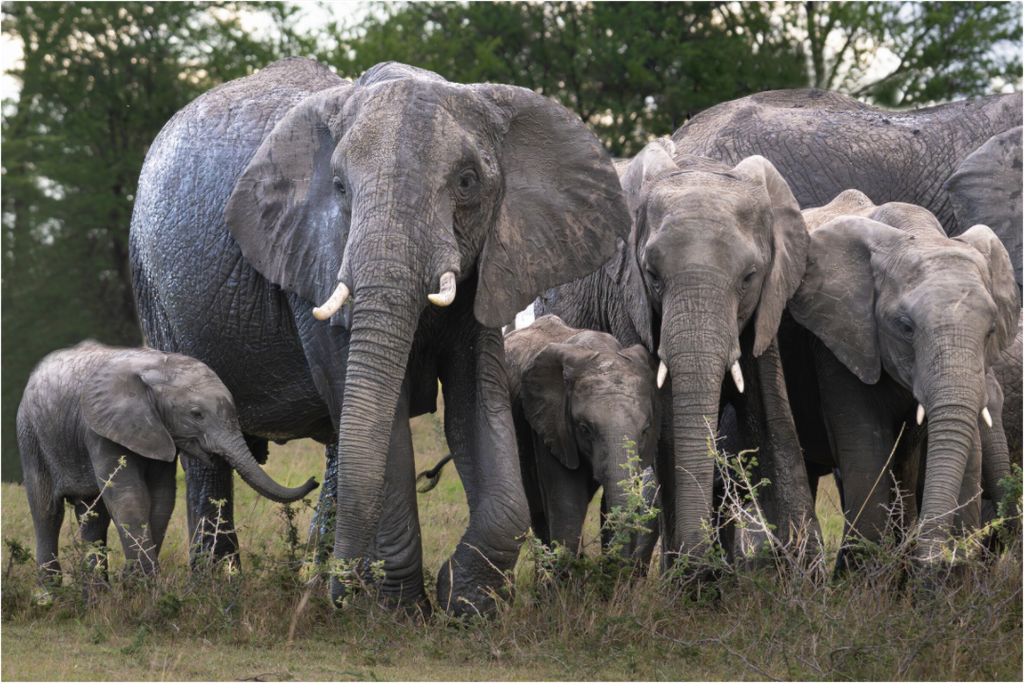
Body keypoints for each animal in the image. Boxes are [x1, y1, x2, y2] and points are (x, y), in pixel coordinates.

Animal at [16, 341, 317, 585]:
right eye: (196, 414)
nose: (314, 479)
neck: (158, 366)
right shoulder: (98, 428)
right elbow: (129, 496)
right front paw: (142, 583)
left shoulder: (159, 432)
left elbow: (161, 499)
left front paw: (133, 581)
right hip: (30, 435)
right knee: (47, 512)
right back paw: (50, 595)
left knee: (92, 517)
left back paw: (95, 595)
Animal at [129, 58, 630, 616]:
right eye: (340, 188)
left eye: (467, 182)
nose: (341, 592)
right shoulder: (314, 256)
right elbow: (377, 412)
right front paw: (398, 612)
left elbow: (476, 401)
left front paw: (467, 604)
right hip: (153, 288)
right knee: (209, 456)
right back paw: (227, 586)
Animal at [535, 140, 820, 574]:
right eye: (652, 275)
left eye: (749, 277)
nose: (702, 564)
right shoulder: (627, 300)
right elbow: (668, 423)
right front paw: (692, 578)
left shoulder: (768, 306)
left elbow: (772, 418)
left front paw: (806, 572)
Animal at [779, 190, 1020, 569]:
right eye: (906, 327)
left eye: (991, 331)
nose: (936, 561)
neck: (918, 233)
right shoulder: (838, 341)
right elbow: (867, 449)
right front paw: (862, 577)